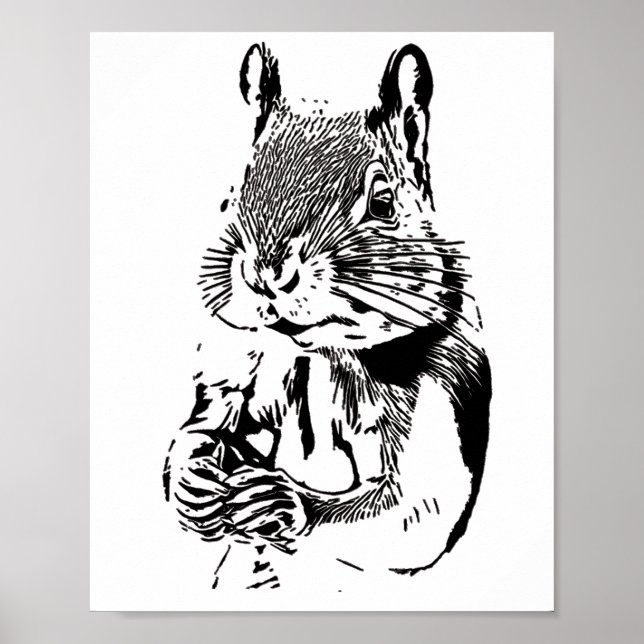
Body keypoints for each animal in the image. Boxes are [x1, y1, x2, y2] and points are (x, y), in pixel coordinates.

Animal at [163, 42, 492, 583]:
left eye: (383, 202)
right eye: (232, 195)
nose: (267, 273)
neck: (320, 351)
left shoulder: (442, 385)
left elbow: (416, 507)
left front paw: (282, 503)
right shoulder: (233, 366)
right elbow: (205, 424)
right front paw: (190, 476)